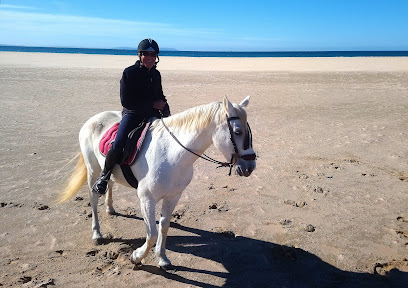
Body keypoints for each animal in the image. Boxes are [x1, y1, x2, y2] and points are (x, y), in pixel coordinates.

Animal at [58, 95, 255, 268]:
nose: (250, 167)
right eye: (237, 132)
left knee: (110, 182)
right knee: (93, 196)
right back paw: (97, 233)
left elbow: (164, 227)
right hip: (93, 169)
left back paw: (110, 208)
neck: (171, 154)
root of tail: (93, 119)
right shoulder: (147, 199)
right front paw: (137, 257)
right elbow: (152, 233)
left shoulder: (174, 196)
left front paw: (162, 258)